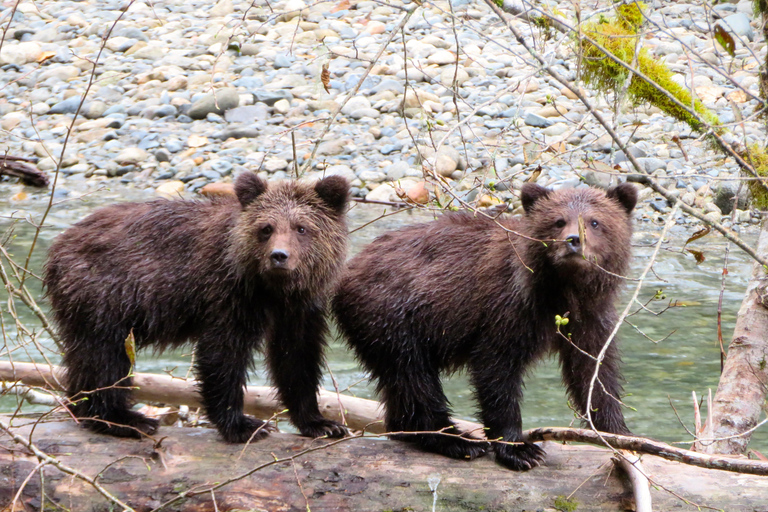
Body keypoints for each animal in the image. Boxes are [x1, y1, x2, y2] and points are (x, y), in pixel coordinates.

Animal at [44, 173, 350, 443]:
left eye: (301, 227)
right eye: (266, 228)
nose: (279, 256)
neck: (273, 291)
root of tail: (59, 244)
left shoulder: (301, 307)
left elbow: (296, 357)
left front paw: (321, 423)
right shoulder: (228, 293)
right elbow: (223, 354)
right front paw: (243, 425)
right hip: (103, 293)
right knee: (104, 355)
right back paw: (124, 419)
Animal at [333, 182, 637, 470]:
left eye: (595, 222)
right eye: (558, 221)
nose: (574, 241)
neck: (564, 291)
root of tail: (349, 269)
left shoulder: (592, 317)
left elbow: (594, 372)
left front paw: (621, 433)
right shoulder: (508, 308)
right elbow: (497, 370)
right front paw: (520, 449)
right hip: (391, 313)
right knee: (413, 375)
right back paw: (455, 440)